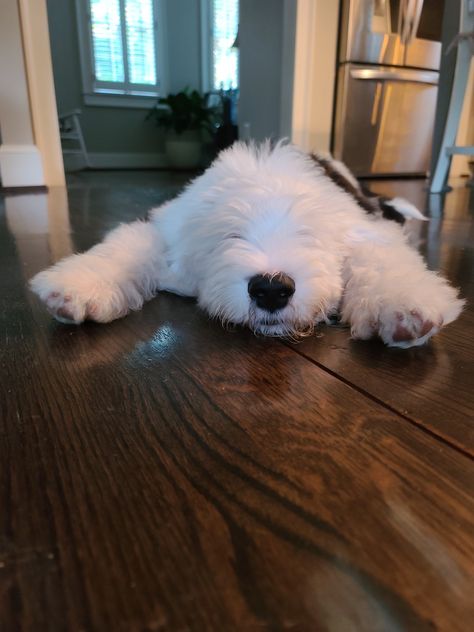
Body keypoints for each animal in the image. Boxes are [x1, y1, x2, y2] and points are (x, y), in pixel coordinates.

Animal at [31, 141, 464, 348]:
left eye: (308, 236)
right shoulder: (170, 223)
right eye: (231, 235)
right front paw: (76, 286)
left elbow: (382, 260)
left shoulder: (363, 229)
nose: (271, 289)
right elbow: (129, 245)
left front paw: (404, 308)